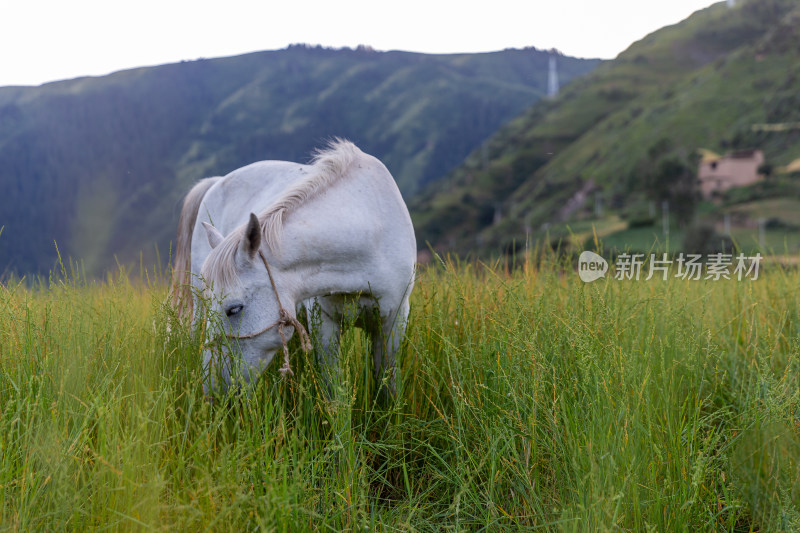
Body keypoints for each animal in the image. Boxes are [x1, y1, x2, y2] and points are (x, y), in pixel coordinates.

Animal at [172, 141, 416, 394]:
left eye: (235, 309)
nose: (211, 391)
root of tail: (216, 182)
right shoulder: (324, 325)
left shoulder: (394, 322)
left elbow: (387, 383)